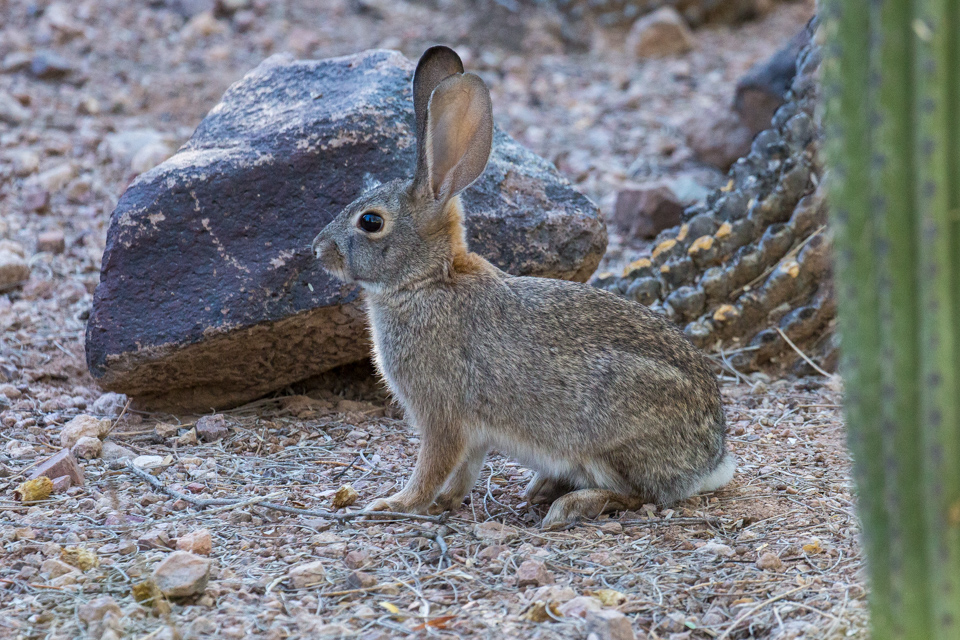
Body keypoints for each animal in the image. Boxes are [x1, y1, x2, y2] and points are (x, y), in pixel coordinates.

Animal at [311, 45, 735, 529]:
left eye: (370, 222)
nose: (318, 249)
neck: (428, 278)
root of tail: (712, 460)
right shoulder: (472, 432)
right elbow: (466, 468)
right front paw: (444, 503)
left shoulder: (441, 413)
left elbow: (433, 463)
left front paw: (396, 505)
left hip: (608, 440)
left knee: (638, 494)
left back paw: (568, 504)